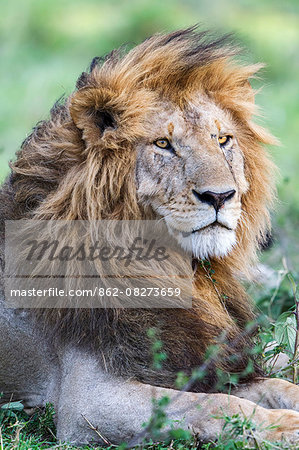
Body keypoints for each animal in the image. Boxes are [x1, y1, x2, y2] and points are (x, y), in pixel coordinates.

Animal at [0, 29, 299, 446]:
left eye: (223, 140)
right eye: (163, 144)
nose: (221, 196)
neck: (176, 269)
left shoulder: (202, 355)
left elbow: (273, 384)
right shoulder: (87, 403)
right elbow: (213, 404)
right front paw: (287, 427)